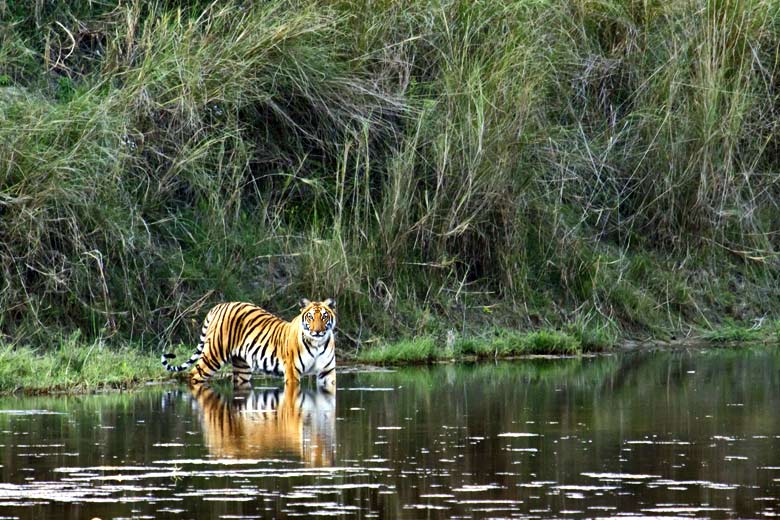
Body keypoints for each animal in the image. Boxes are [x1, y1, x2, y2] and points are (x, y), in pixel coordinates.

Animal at [161, 298, 336, 388]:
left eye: (324, 316)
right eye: (310, 317)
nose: (317, 331)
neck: (317, 343)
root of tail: (219, 306)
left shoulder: (327, 372)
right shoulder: (292, 372)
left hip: (242, 366)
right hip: (213, 355)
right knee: (193, 375)